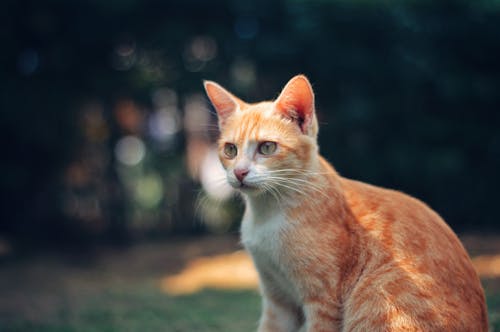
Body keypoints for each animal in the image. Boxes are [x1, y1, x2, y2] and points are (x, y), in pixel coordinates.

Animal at [203, 76, 488, 332]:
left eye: (267, 147)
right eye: (230, 150)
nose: (239, 172)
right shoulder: (278, 300)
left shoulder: (323, 300)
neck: (267, 214)